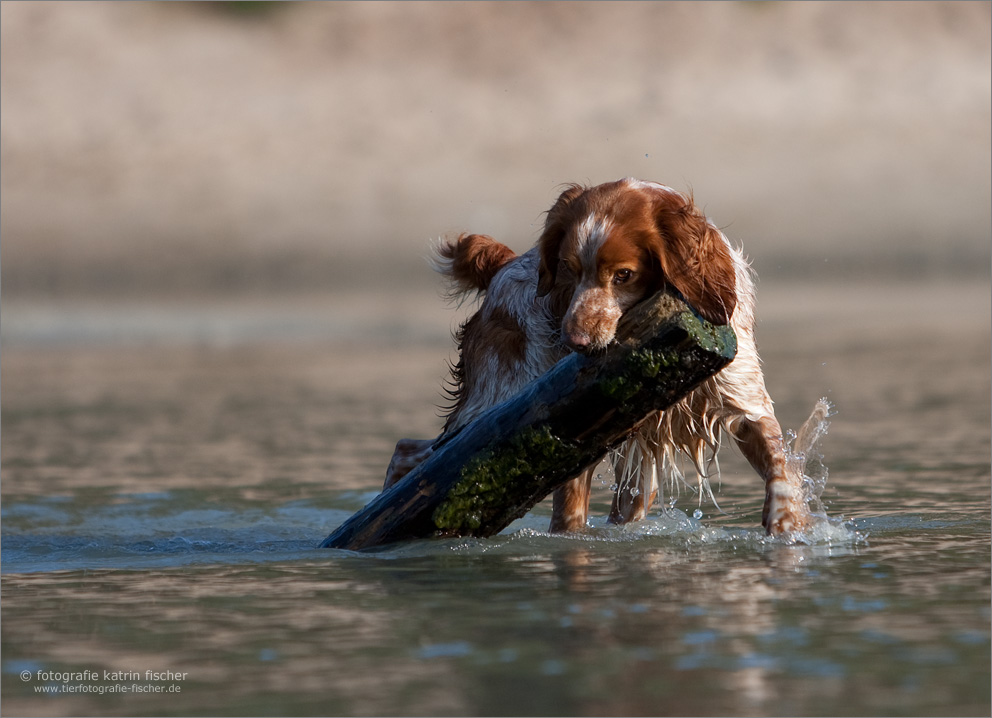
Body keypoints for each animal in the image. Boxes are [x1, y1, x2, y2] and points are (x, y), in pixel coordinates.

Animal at [384, 180, 808, 536]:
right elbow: (569, 522)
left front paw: (786, 525)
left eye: (623, 275)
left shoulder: (745, 400)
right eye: (567, 270)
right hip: (494, 407)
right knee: (410, 454)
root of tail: (504, 267)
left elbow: (780, 465)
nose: (574, 340)